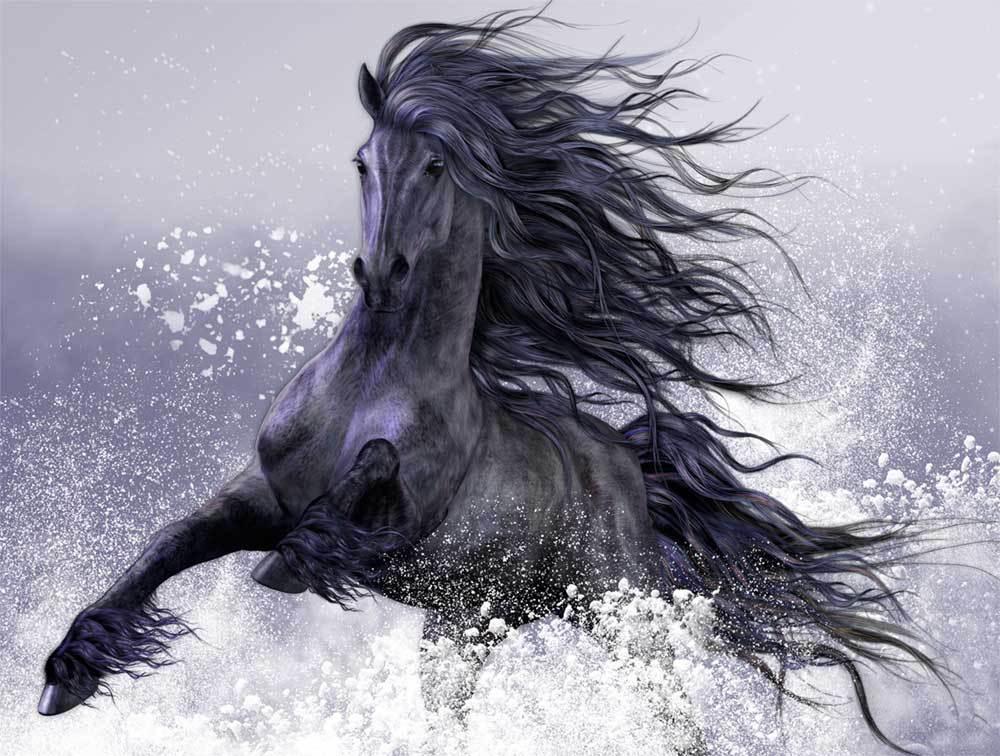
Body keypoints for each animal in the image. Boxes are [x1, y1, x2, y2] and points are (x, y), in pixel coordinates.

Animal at [38, 9, 944, 752]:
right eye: (362, 162)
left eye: (437, 166)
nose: (381, 273)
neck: (370, 382)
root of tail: (626, 460)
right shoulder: (259, 494)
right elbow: (162, 549)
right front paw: (66, 674)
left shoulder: (398, 522)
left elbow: (364, 480)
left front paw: (291, 563)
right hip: (479, 620)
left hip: (593, 610)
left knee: (664, 708)